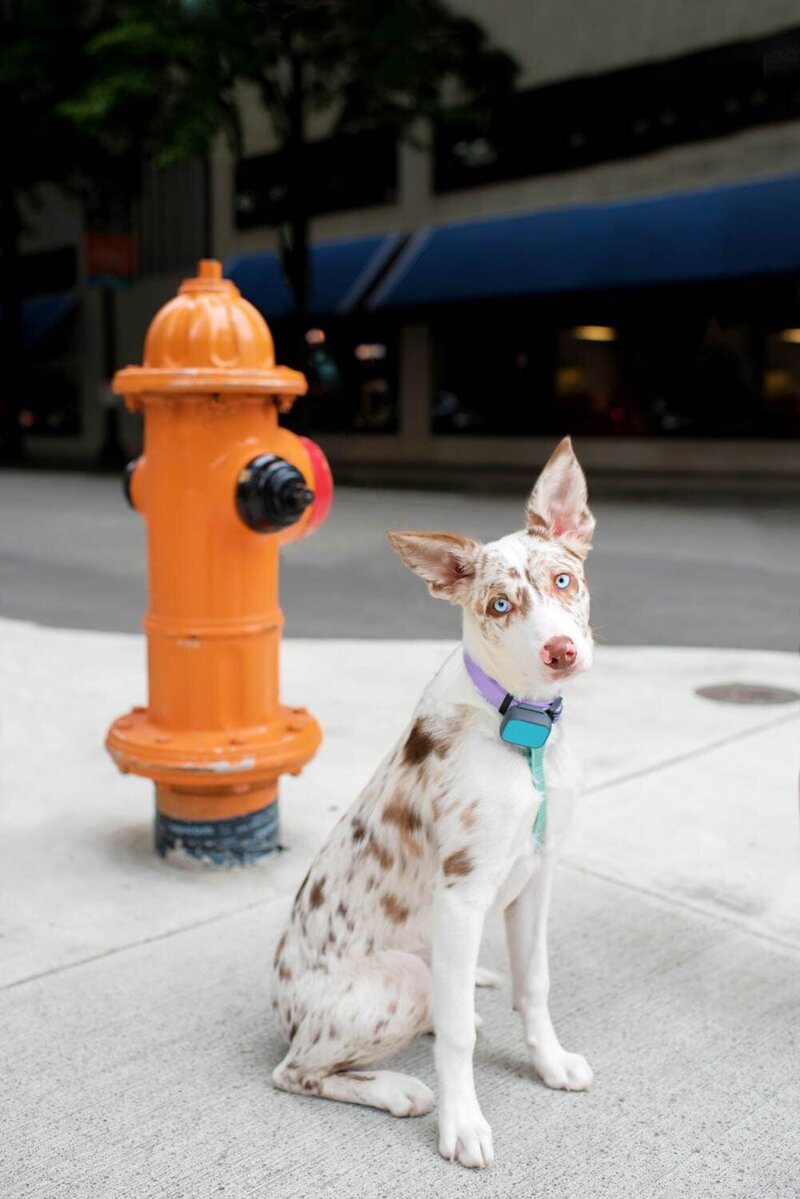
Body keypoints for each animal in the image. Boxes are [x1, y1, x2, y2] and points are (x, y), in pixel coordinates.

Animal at [272, 436, 597, 1165]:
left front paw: (549, 1062)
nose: (561, 651)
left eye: (564, 581)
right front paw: (463, 1123)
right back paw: (395, 1088)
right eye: (500, 605)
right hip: (395, 979)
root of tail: (284, 1013)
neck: (523, 728)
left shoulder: (539, 871)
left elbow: (535, 984)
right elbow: (457, 1039)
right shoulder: (462, 892)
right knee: (298, 1070)